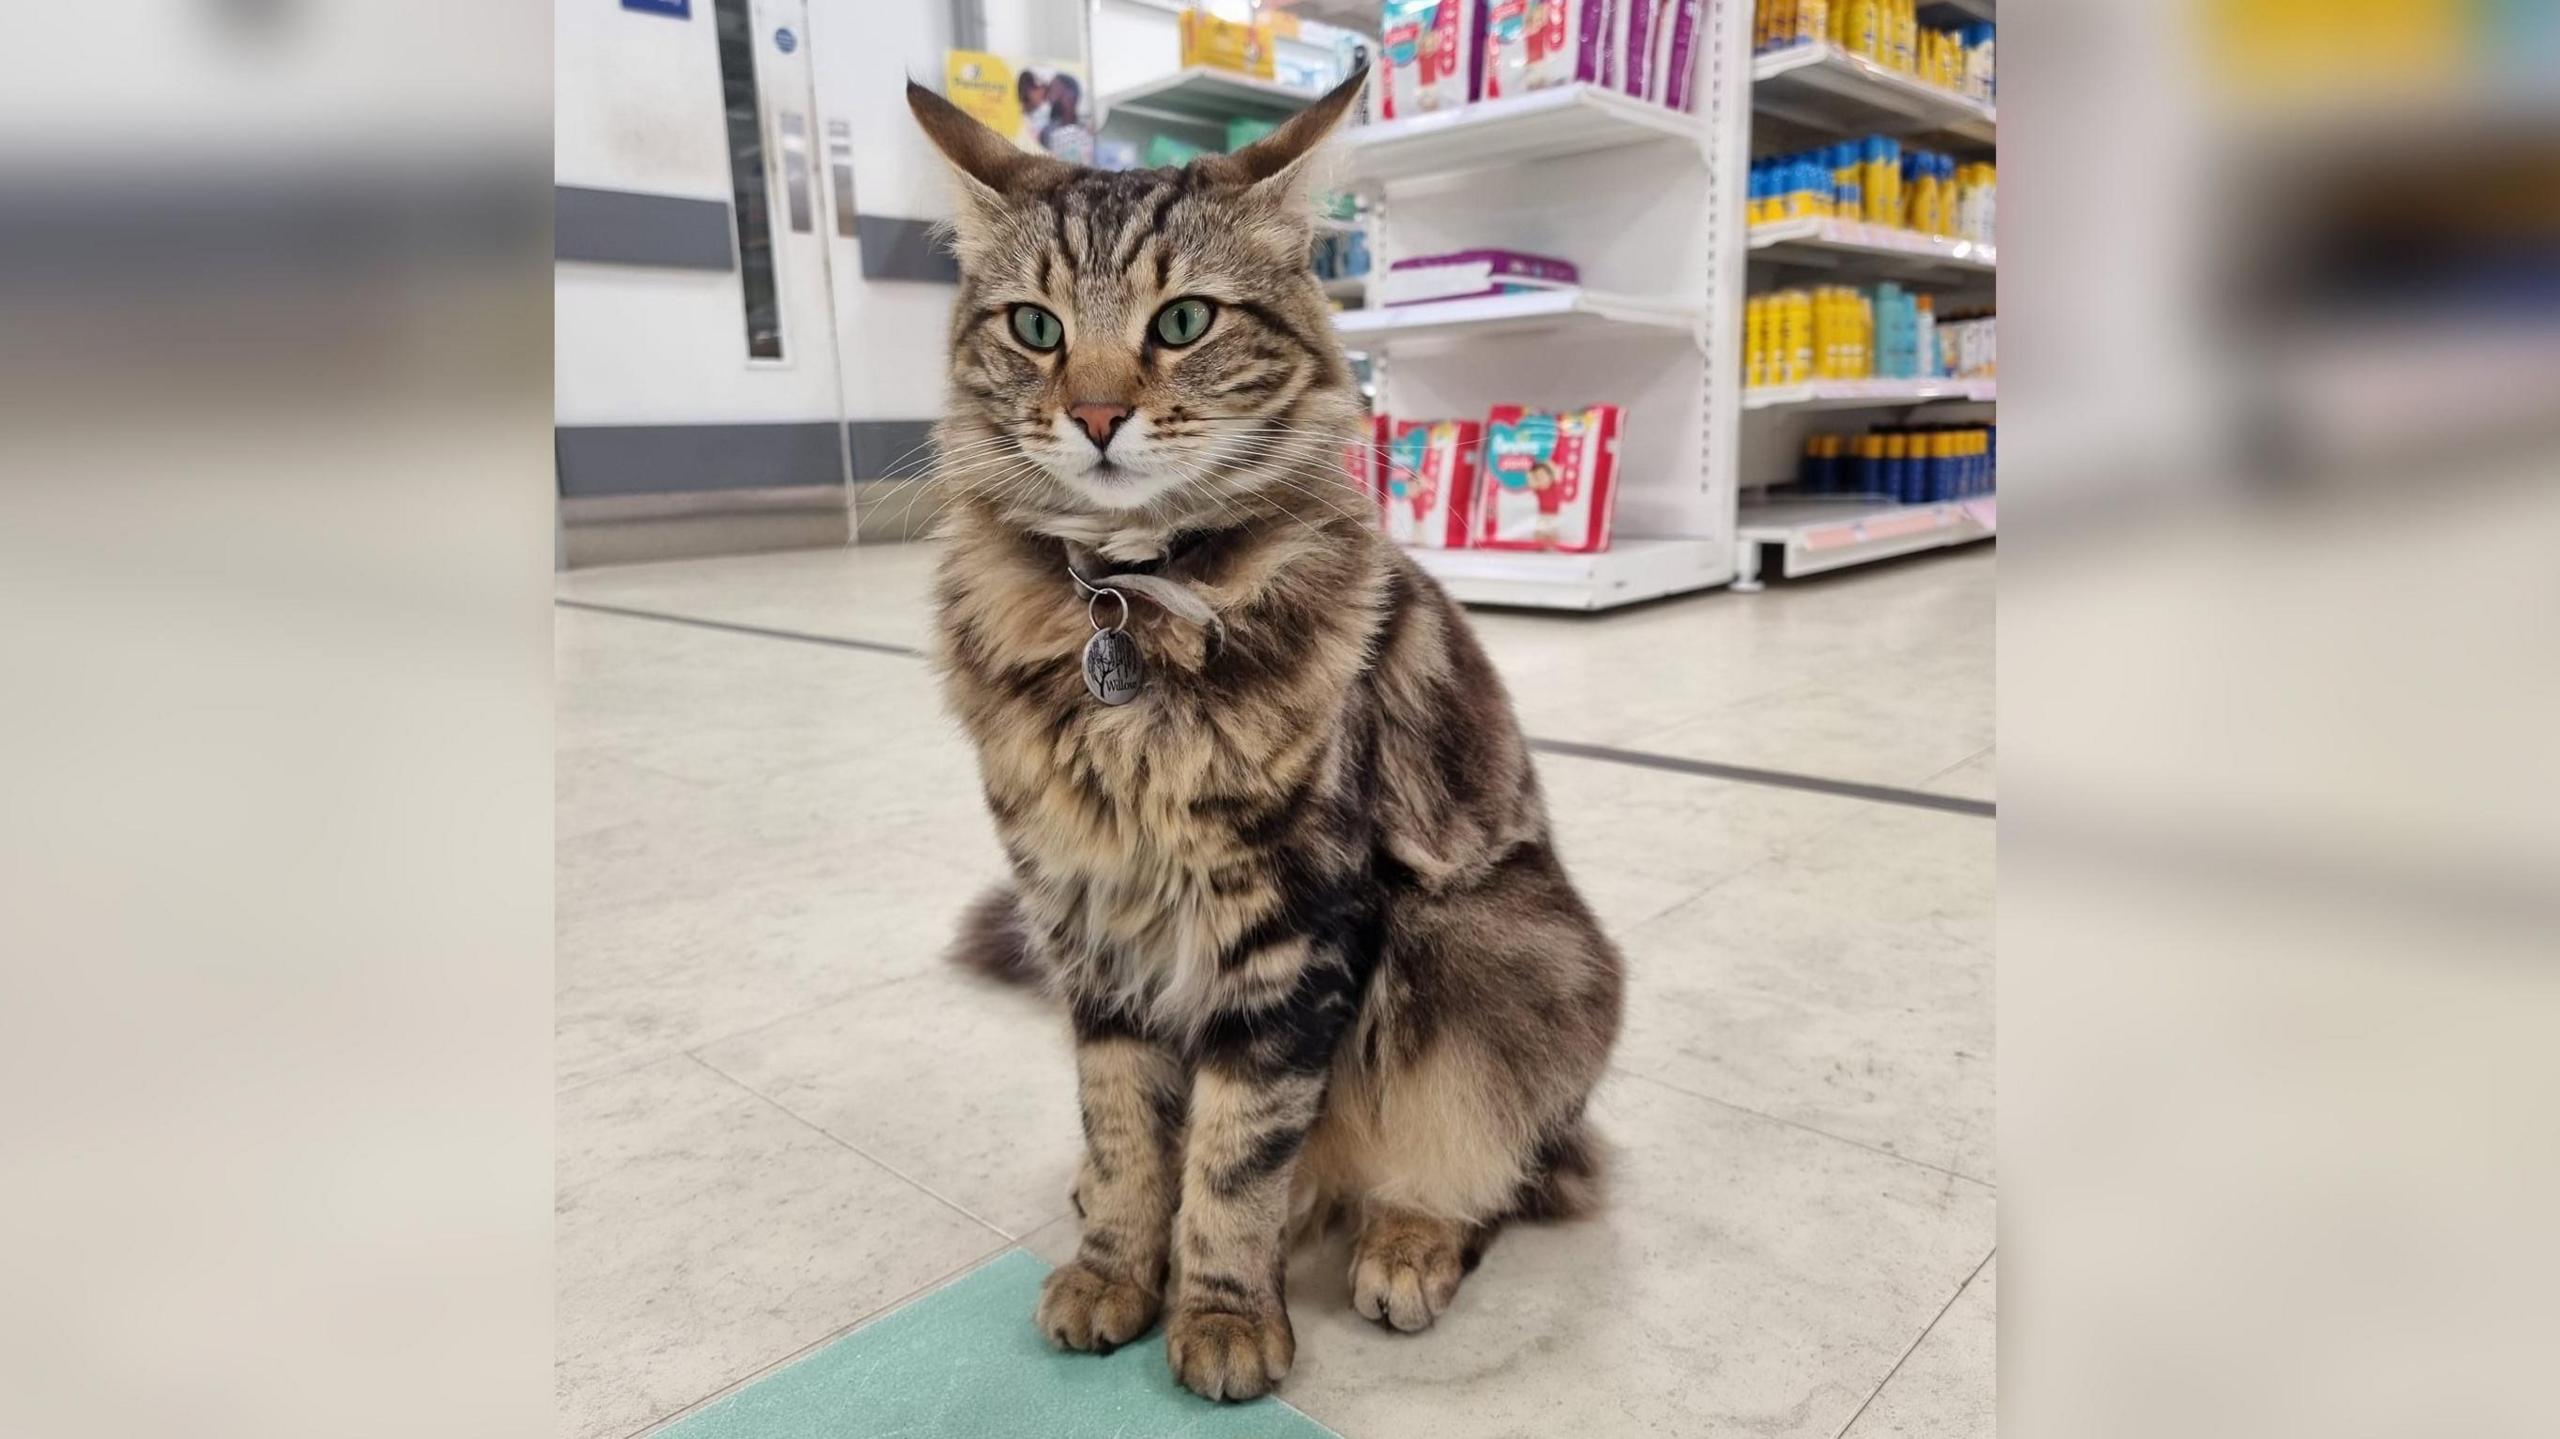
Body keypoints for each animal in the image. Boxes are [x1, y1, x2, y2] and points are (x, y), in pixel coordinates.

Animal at [911, 70, 1617, 1403]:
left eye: (1183, 319)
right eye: (1035, 328)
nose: (1095, 413)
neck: (1125, 608)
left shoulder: (1291, 923)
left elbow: (1237, 1153)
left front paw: (1225, 1312)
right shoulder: (1085, 917)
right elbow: (1126, 1127)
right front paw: (1114, 1268)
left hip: (1495, 944)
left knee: (1496, 1169)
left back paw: (1404, 1242)